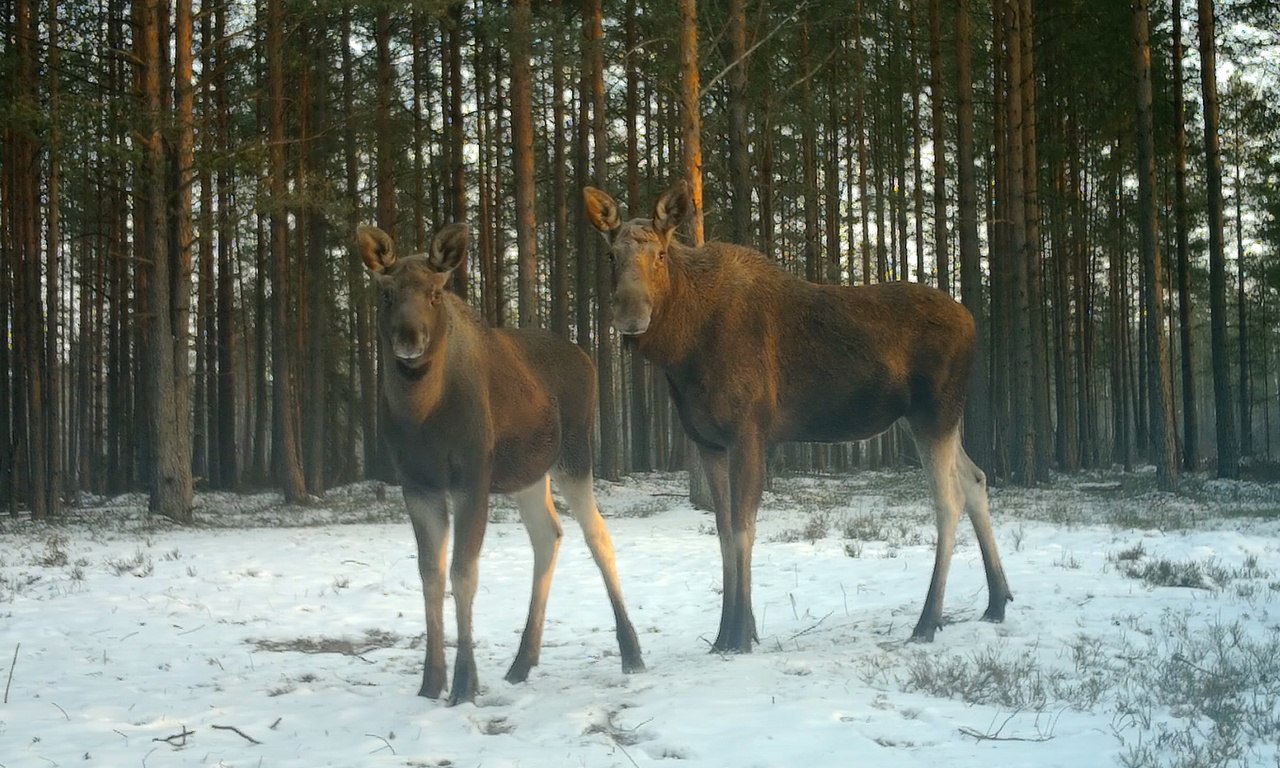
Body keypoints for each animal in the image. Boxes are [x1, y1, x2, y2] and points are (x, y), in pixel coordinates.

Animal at [355, 220, 645, 701]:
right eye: (386, 293)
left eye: (436, 293)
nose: (409, 339)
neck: (421, 415)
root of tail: (586, 357)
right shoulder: (417, 484)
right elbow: (430, 574)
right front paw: (430, 682)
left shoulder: (473, 476)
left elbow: (463, 572)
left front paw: (464, 683)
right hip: (529, 475)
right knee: (549, 534)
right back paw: (523, 661)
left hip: (574, 454)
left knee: (597, 534)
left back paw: (632, 651)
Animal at [586, 181, 1013, 652]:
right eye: (611, 255)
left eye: (660, 254)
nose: (631, 315)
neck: (681, 353)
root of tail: (972, 323)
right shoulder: (707, 441)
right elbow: (722, 532)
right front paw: (726, 634)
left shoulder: (749, 432)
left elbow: (742, 529)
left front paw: (740, 634)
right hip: (929, 419)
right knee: (975, 479)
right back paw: (996, 601)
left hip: (934, 411)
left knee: (948, 499)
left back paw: (928, 620)